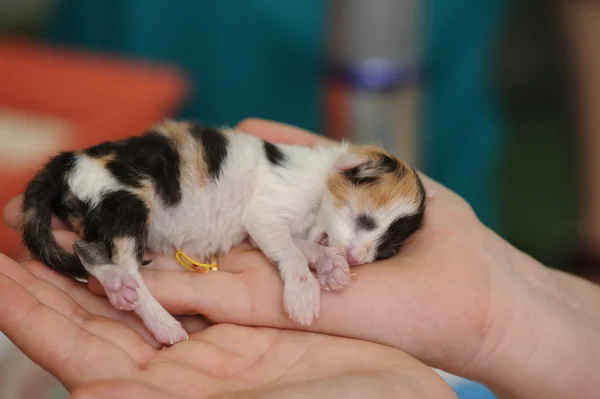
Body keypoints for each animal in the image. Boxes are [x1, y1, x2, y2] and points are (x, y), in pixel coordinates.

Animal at [21, 120, 426, 346]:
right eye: (364, 220)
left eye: (385, 251)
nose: (358, 257)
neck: (320, 176)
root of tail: (73, 158)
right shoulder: (266, 212)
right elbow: (291, 254)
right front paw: (304, 293)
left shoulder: (271, 227)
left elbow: (301, 246)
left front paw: (331, 266)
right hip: (130, 199)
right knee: (121, 261)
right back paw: (155, 316)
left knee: (86, 249)